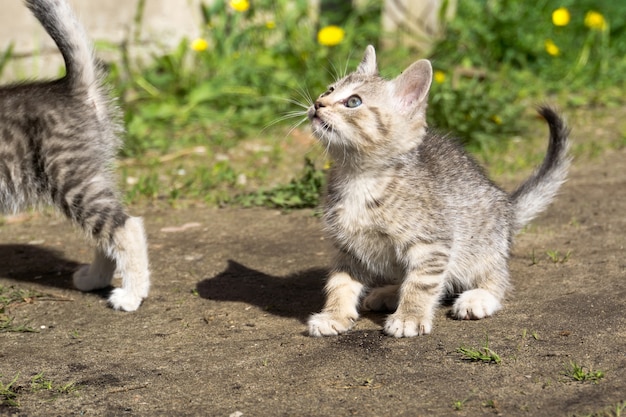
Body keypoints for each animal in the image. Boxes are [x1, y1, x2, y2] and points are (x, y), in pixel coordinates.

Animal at [0, 0, 149, 310]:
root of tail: (66, 85)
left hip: (69, 179)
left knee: (126, 227)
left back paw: (131, 295)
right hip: (91, 176)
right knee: (107, 234)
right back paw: (95, 279)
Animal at [304, 45, 568, 336]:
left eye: (353, 102)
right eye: (329, 89)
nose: (318, 103)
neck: (359, 177)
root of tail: (508, 206)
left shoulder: (432, 245)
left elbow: (420, 283)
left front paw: (409, 316)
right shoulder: (348, 248)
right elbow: (340, 282)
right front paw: (334, 315)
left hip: (482, 245)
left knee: (498, 278)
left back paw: (480, 297)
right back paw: (389, 292)